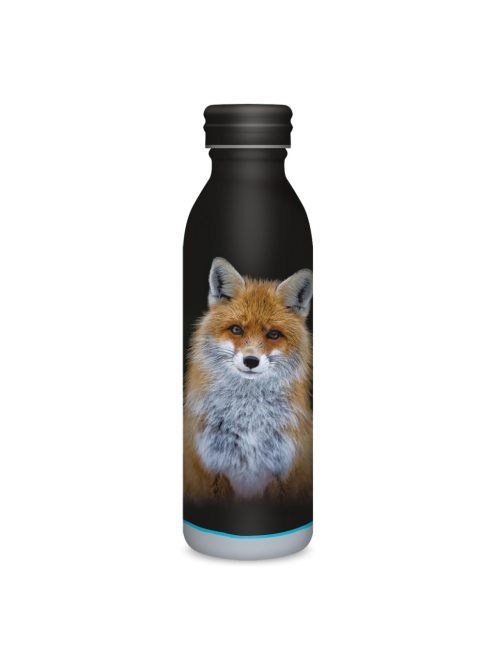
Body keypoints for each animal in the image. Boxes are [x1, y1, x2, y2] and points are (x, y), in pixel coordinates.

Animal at [184, 257, 313, 502]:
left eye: (273, 334)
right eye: (236, 329)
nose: (251, 361)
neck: (248, 422)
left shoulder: (282, 472)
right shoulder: (212, 470)